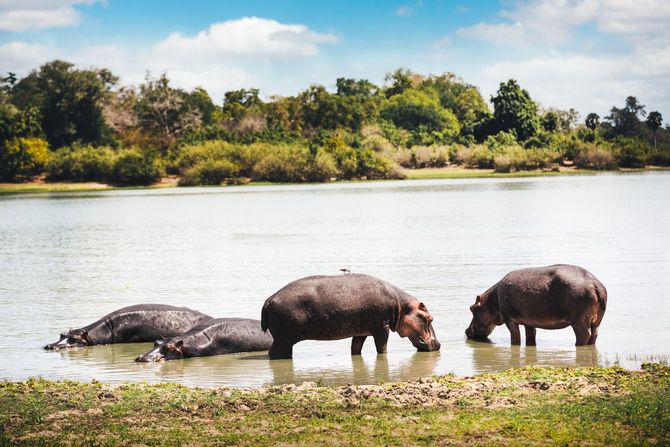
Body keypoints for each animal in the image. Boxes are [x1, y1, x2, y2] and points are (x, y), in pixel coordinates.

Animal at [258, 272, 440, 360]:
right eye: (429, 318)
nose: (438, 344)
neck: (402, 306)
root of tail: (269, 300)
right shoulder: (383, 327)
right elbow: (382, 348)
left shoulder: (361, 332)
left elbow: (355, 348)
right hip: (283, 339)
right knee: (274, 353)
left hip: (284, 340)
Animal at [468, 266, 608, 346]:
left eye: (471, 308)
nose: (466, 331)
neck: (493, 299)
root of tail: (595, 283)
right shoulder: (528, 321)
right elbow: (530, 336)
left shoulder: (510, 320)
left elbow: (515, 338)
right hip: (596, 321)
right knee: (594, 335)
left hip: (579, 321)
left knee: (584, 335)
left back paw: (577, 345)